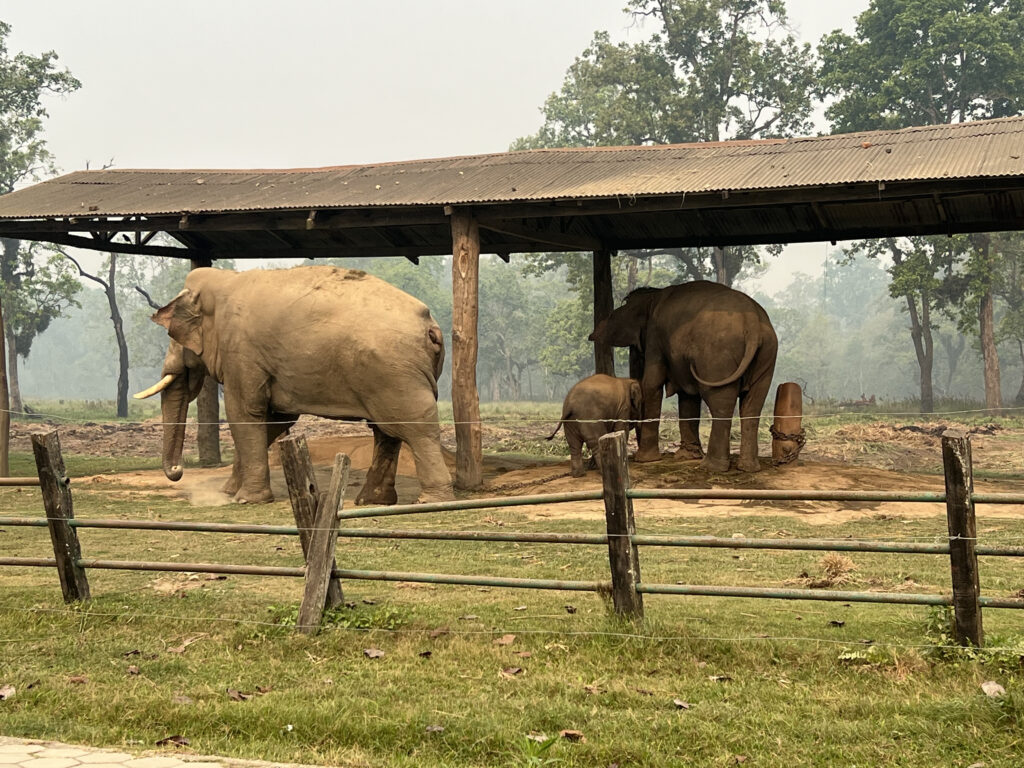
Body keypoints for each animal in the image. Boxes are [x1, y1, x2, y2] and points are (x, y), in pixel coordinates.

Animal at [134, 265, 453, 505]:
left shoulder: (242, 351)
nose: (178, 469)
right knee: (386, 431)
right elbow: (275, 420)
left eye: (173, 336)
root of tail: (431, 326)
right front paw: (229, 492)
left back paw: (431, 500)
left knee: (415, 427)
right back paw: (371, 501)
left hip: (396, 373)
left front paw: (245, 499)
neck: (225, 279)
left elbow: (245, 414)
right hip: (388, 374)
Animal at [589, 281, 777, 473]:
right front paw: (687, 456)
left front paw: (645, 460)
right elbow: (688, 395)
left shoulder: (655, 338)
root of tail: (752, 322)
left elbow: (652, 383)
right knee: (752, 406)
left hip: (717, 357)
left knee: (720, 402)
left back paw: (712, 467)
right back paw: (748, 468)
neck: (653, 296)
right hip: (767, 355)